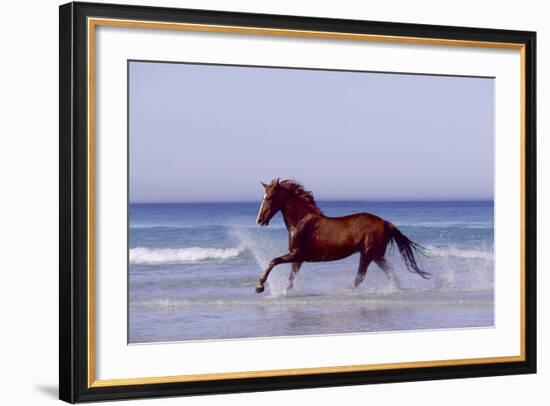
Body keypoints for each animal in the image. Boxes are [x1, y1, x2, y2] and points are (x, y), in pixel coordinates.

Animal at [254, 179, 432, 294]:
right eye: (263, 197)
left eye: (270, 197)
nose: (260, 220)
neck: (301, 222)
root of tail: (385, 222)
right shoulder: (298, 259)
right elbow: (290, 279)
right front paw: (283, 292)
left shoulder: (297, 254)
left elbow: (273, 261)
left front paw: (259, 286)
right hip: (377, 256)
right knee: (390, 274)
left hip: (367, 255)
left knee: (360, 278)